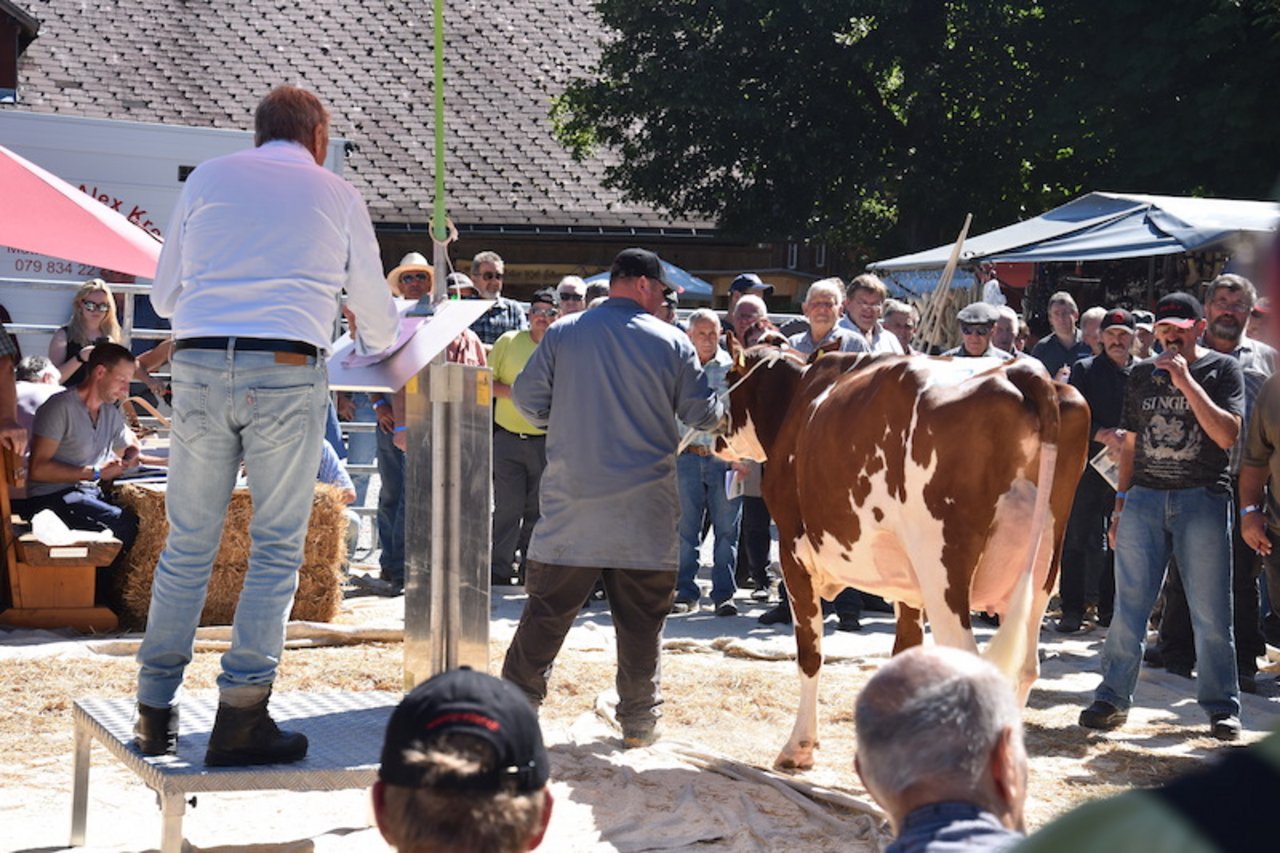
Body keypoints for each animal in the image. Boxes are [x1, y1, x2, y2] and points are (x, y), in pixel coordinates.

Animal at [716, 338, 1085, 768]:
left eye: (728, 374)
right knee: (1024, 668)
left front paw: (799, 747)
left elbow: (810, 653)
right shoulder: (909, 586)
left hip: (943, 569)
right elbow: (903, 656)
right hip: (1042, 570)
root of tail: (1020, 371)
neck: (798, 398)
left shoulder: (794, 554)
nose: (716, 439)